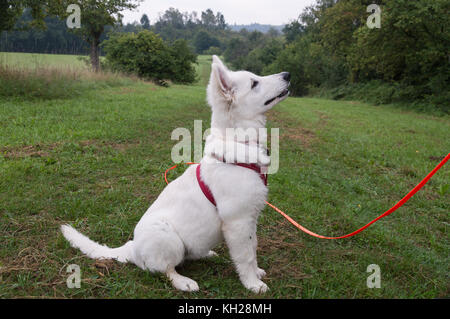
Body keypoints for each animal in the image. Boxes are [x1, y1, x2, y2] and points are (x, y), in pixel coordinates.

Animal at [60, 56, 292, 294]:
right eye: (254, 83)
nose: (287, 75)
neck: (239, 141)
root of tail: (132, 248)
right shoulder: (238, 221)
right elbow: (246, 256)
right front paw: (253, 283)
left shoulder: (251, 219)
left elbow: (253, 247)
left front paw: (256, 273)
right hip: (168, 238)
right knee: (165, 270)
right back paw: (184, 281)